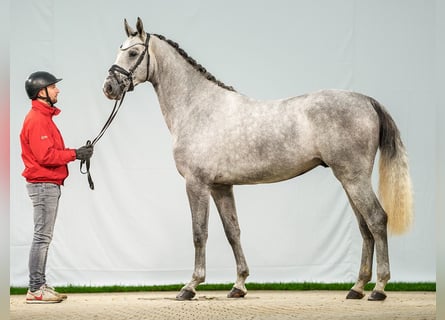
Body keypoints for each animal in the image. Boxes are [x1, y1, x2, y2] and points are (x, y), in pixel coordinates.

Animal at [102, 18, 412, 302]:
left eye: (133, 53)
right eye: (120, 49)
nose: (109, 87)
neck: (197, 107)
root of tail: (367, 100)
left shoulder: (196, 184)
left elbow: (199, 233)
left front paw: (190, 286)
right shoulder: (220, 186)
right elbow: (233, 231)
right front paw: (239, 285)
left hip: (353, 177)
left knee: (377, 219)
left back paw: (379, 288)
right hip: (349, 179)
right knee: (364, 227)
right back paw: (357, 288)